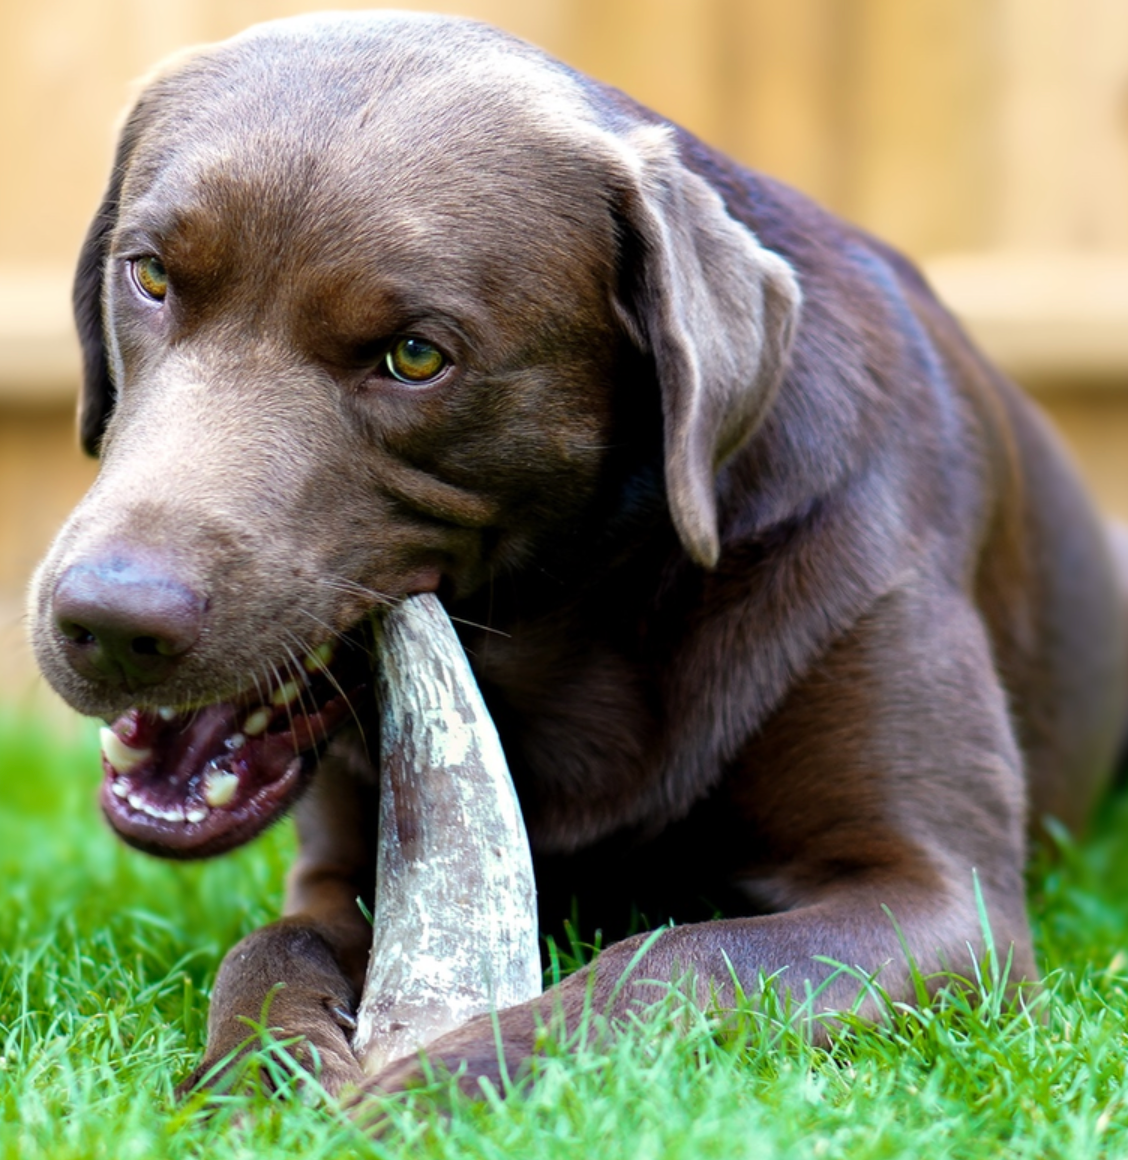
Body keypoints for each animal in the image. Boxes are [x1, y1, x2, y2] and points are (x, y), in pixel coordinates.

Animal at [24, 11, 1128, 1095]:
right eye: (150, 276)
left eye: (415, 355)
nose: (110, 621)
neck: (574, 632)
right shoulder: (338, 876)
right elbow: (266, 950)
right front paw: (263, 1080)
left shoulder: (935, 895)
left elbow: (671, 958)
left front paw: (423, 1094)